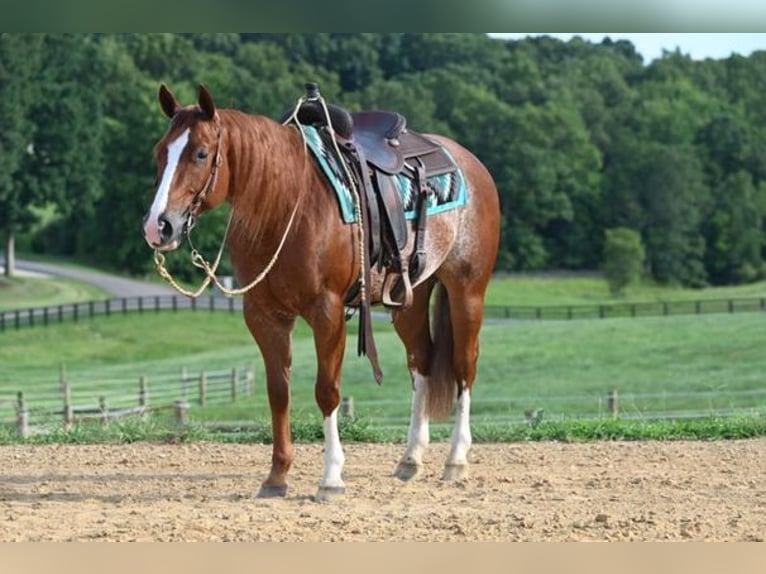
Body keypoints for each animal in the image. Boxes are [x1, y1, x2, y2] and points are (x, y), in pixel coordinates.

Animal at [142, 83, 504, 502]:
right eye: (160, 152)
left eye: (201, 153)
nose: (158, 226)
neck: (286, 206)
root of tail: (467, 161)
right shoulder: (264, 315)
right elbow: (278, 391)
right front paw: (276, 477)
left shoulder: (327, 312)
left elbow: (327, 391)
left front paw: (331, 478)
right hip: (409, 297)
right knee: (422, 363)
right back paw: (410, 458)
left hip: (467, 290)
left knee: (464, 366)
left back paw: (456, 460)